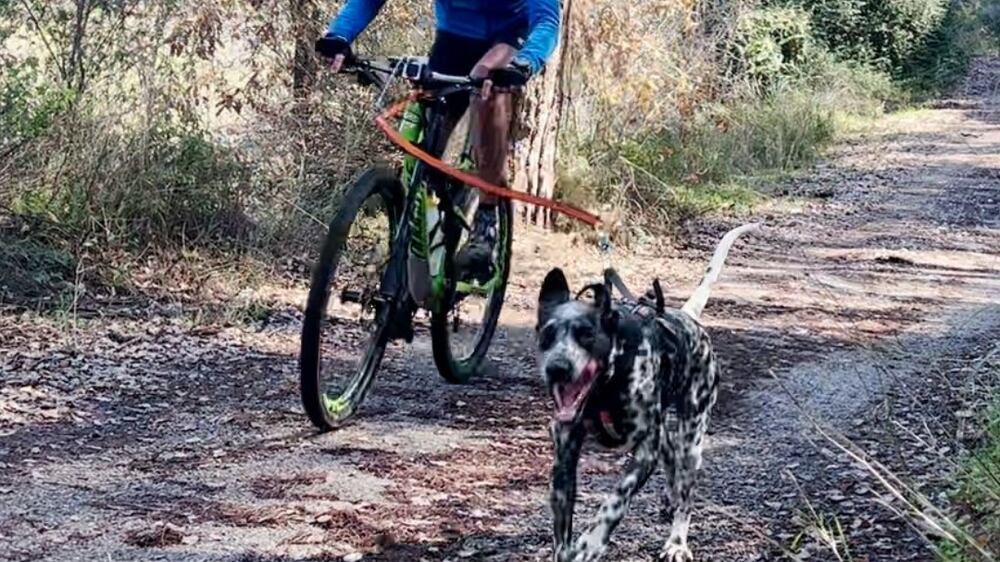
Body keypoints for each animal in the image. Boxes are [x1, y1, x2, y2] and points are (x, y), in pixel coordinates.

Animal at [540, 223, 756, 560]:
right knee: (670, 458)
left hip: (692, 438)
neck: (606, 389)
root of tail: (687, 316)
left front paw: (591, 542)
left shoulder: (643, 454)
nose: (557, 367)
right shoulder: (564, 457)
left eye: (587, 334)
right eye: (547, 334)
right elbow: (561, 525)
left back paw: (677, 542)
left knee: (686, 494)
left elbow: (614, 502)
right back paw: (670, 498)